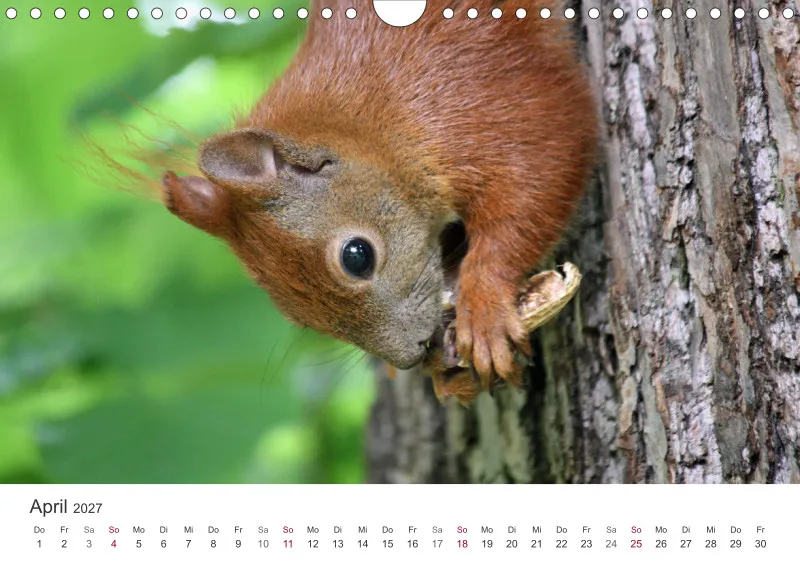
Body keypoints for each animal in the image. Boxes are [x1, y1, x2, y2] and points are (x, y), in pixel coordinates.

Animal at [160, 0, 598, 403]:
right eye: (298, 317)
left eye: (357, 256)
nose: (413, 356)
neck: (370, 121)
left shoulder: (479, 100)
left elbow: (542, 167)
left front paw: (484, 310)